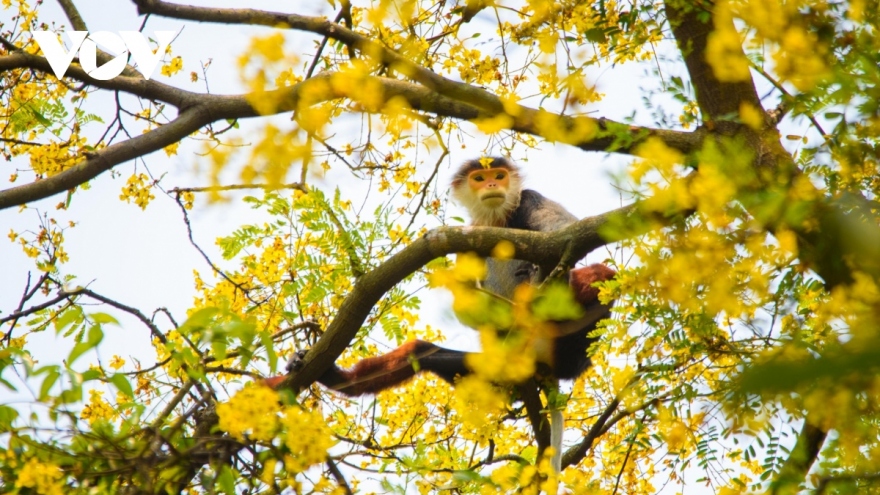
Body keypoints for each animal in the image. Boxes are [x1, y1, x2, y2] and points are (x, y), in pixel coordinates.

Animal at [264, 157, 616, 398]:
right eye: (480, 178)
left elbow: (567, 234)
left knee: (604, 276)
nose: (493, 185)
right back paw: (334, 378)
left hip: (572, 350)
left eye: (499, 176)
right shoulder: (469, 235)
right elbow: (465, 310)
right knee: (423, 353)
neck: (497, 221)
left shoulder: (530, 199)